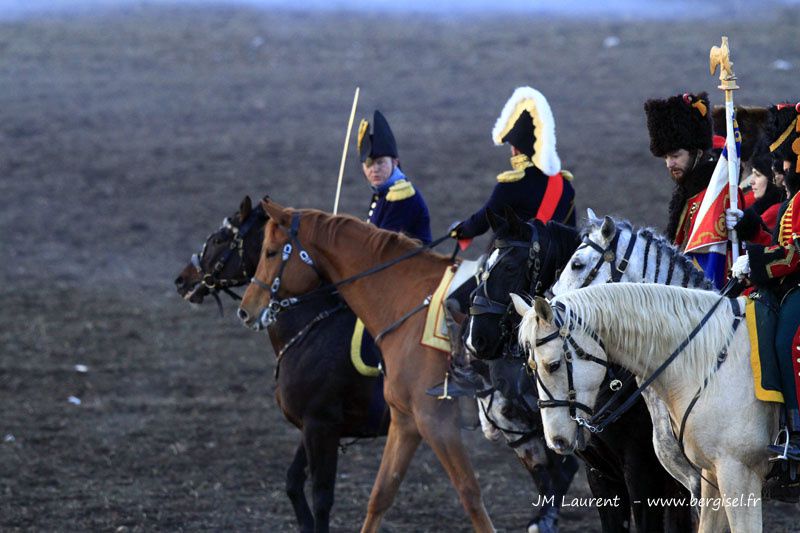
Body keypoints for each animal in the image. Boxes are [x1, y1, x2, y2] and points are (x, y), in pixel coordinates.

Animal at [175, 196, 390, 532]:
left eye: (220, 239)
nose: (182, 280)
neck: (313, 326)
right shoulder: (311, 426)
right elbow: (292, 483)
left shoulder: (321, 425)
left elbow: (322, 497)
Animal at [239, 201, 500, 532]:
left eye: (271, 252)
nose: (246, 309)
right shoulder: (403, 421)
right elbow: (379, 494)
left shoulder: (433, 422)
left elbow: (470, 494)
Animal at [512, 284, 780, 532]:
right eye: (529, 368)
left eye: (553, 365)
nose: (555, 440)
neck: (708, 363)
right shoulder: (709, 476)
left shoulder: (734, 474)